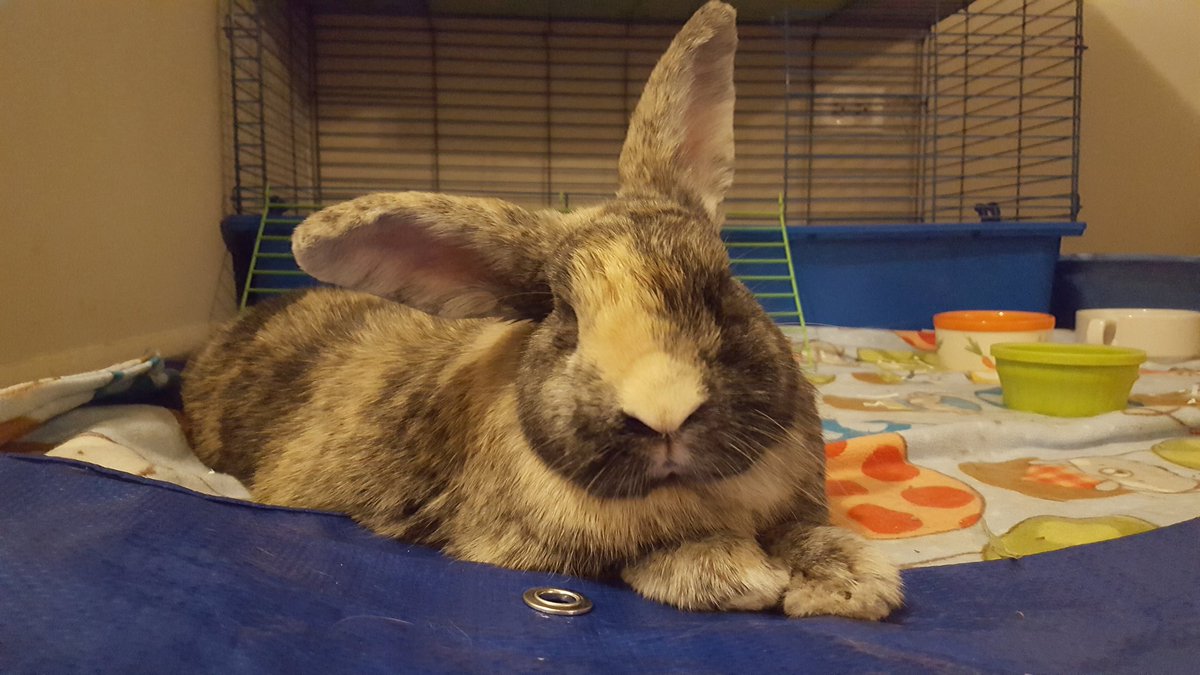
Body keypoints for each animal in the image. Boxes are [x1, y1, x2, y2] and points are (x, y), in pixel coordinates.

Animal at [183, 0, 902, 620]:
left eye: (721, 286)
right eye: (566, 317)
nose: (665, 413)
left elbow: (808, 533)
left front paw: (851, 584)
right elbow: (643, 556)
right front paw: (735, 573)